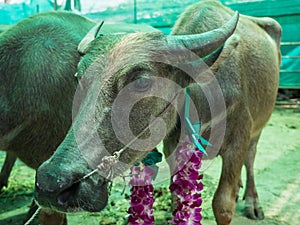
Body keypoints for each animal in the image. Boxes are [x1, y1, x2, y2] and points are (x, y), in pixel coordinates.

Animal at [34, 0, 282, 224]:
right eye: (78, 77)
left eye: (142, 81)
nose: (51, 182)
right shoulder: (173, 146)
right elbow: (177, 198)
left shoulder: (238, 141)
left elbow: (222, 206)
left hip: (258, 127)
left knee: (251, 156)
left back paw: (253, 202)